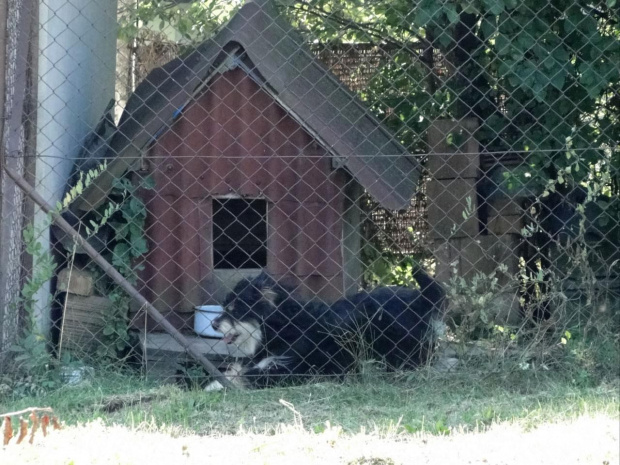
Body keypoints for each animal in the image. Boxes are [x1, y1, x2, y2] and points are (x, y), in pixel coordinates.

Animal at [206, 266, 444, 390]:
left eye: (234, 310)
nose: (213, 323)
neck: (283, 327)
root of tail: (419, 300)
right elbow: (234, 371)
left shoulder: (288, 369)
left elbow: (242, 376)